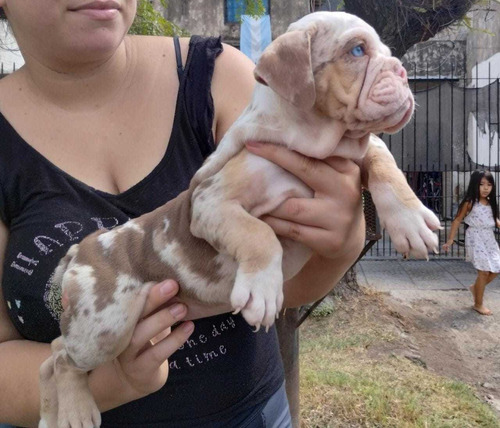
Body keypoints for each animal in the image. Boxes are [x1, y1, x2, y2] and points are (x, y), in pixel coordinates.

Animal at [39, 10, 442, 428]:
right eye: (357, 50)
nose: (402, 72)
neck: (314, 142)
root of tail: (82, 248)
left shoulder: (359, 150)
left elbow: (383, 161)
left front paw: (411, 221)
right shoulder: (210, 202)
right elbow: (259, 233)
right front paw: (262, 290)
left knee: (50, 358)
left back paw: (51, 414)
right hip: (105, 326)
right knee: (58, 357)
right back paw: (75, 410)